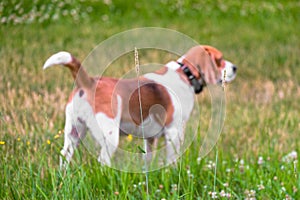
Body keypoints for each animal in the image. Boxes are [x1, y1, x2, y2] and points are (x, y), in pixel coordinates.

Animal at [43, 45, 237, 167]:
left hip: (73, 132)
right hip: (110, 136)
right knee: (103, 160)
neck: (184, 73)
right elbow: (172, 159)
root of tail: (88, 82)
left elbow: (148, 158)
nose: (234, 67)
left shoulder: (150, 137)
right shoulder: (174, 131)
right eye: (219, 60)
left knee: (64, 155)